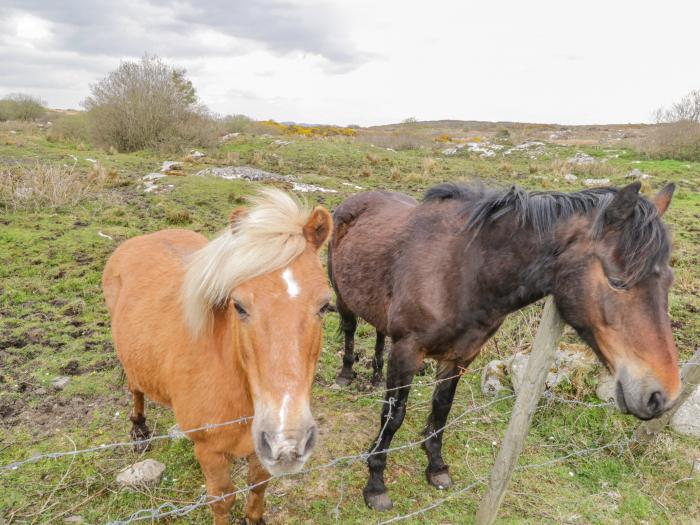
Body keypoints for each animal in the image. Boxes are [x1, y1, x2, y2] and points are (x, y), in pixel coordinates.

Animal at [103, 189, 334, 524]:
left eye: (325, 305)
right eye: (238, 306)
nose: (288, 439)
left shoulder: (260, 447)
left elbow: (258, 485)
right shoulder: (209, 452)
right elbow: (222, 500)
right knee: (135, 387)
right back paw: (139, 429)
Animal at [328, 180, 680, 508]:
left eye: (668, 281)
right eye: (618, 282)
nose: (661, 395)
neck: (464, 271)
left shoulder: (460, 356)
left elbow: (442, 409)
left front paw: (437, 467)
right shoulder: (407, 352)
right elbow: (393, 416)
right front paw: (375, 484)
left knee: (378, 331)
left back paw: (374, 376)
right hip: (343, 297)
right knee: (350, 327)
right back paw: (345, 375)